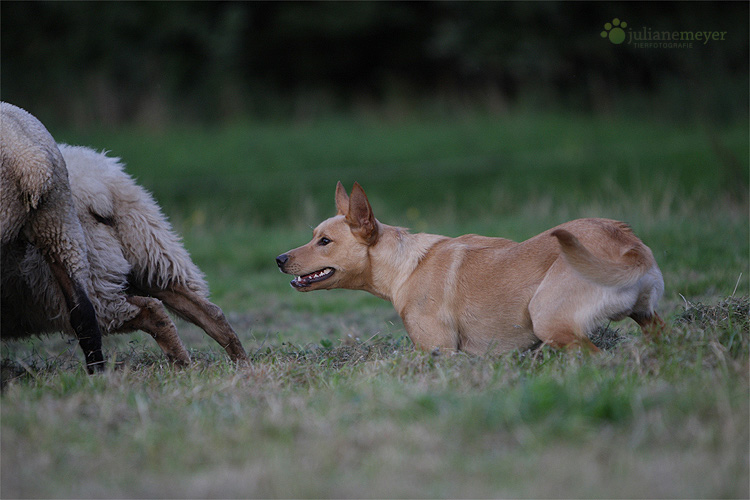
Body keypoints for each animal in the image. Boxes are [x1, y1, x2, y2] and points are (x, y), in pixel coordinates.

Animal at [280, 182, 668, 354]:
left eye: (324, 241)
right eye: (313, 236)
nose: (279, 259)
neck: (405, 264)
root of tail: (627, 245)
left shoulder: (438, 350)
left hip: (548, 318)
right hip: (647, 318)